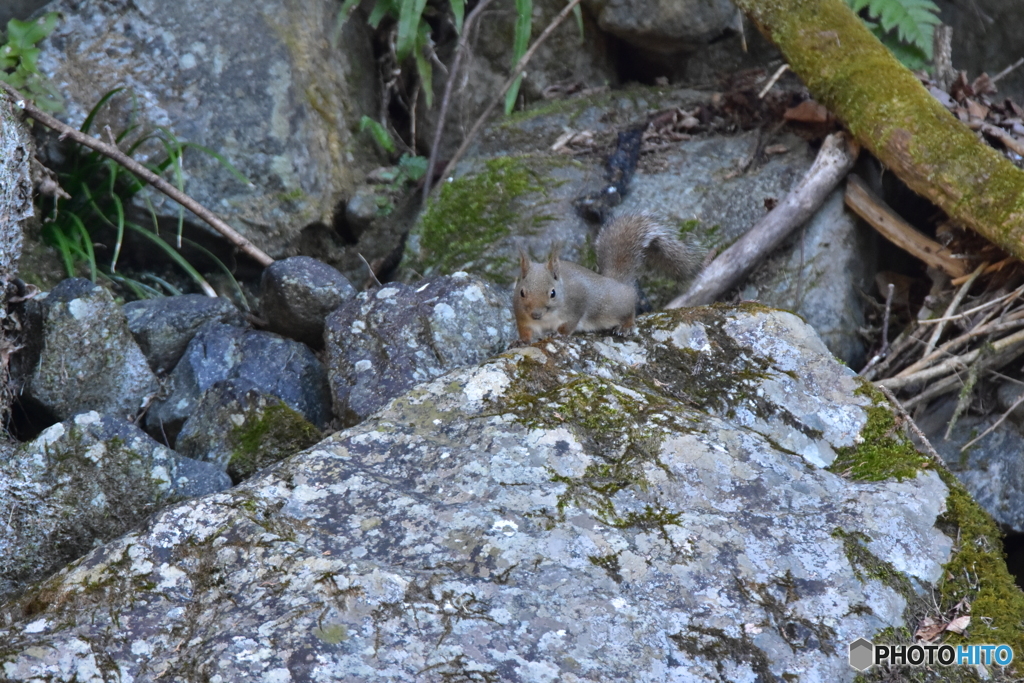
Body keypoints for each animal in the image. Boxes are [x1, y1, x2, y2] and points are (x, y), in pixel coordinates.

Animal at [512, 211, 704, 344]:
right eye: (521, 292)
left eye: (553, 293)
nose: (536, 314)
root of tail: (616, 282)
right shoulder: (522, 317)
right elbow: (525, 330)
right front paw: (521, 341)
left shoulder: (576, 306)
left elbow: (569, 324)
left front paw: (558, 334)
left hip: (615, 307)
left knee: (629, 310)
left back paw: (626, 327)